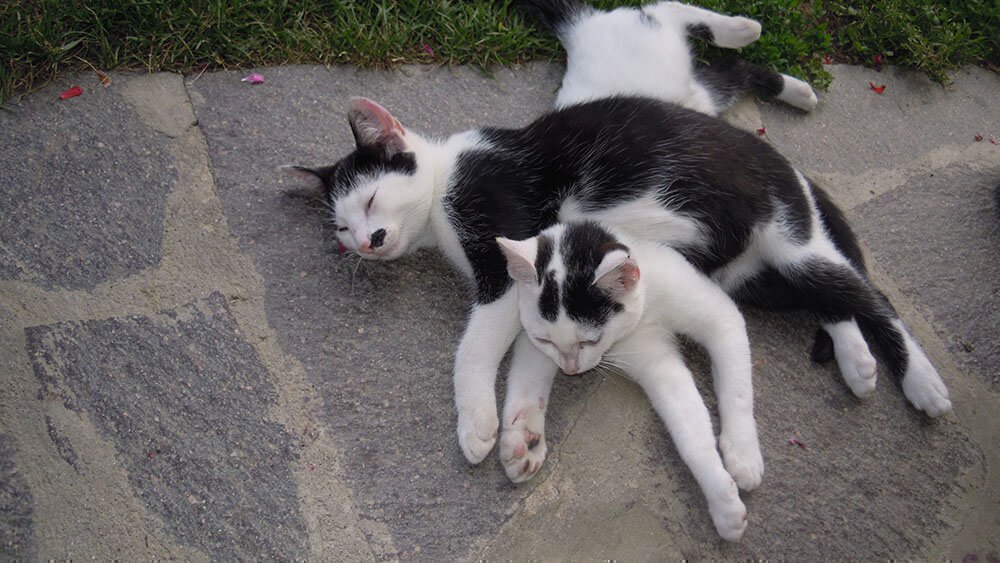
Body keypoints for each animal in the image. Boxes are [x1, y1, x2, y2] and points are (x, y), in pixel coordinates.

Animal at [284, 97, 952, 472]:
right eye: (340, 227)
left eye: (372, 199)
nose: (367, 243)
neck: (446, 181)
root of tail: (790, 167)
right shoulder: (535, 276)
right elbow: (535, 350)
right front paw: (520, 430)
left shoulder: (504, 245)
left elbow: (475, 346)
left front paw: (475, 423)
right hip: (755, 274)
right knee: (827, 299)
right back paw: (857, 360)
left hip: (789, 238)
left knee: (870, 295)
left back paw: (921, 382)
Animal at [496, 221, 760, 540]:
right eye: (545, 339)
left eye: (589, 341)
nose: (570, 370)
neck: (647, 306)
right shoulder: (655, 362)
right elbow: (689, 426)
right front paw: (722, 498)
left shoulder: (721, 317)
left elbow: (737, 392)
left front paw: (742, 455)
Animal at [520, 0, 816, 114]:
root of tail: (579, 29)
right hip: (700, 93)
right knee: (736, 69)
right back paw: (802, 94)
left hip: (655, 38)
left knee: (662, 7)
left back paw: (742, 30)